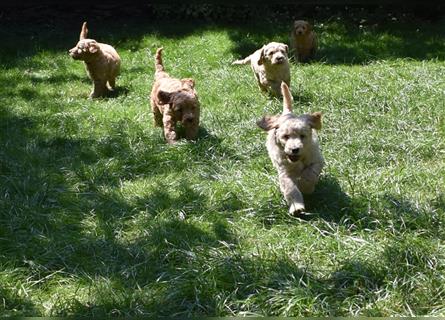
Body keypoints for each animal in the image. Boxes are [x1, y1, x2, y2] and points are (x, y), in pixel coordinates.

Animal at [256, 82, 322, 215]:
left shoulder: (317, 160)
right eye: (285, 137)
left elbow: (310, 174)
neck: (297, 160)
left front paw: (306, 187)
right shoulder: (284, 172)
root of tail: (287, 114)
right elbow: (290, 189)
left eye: (302, 136)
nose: (295, 149)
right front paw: (296, 207)